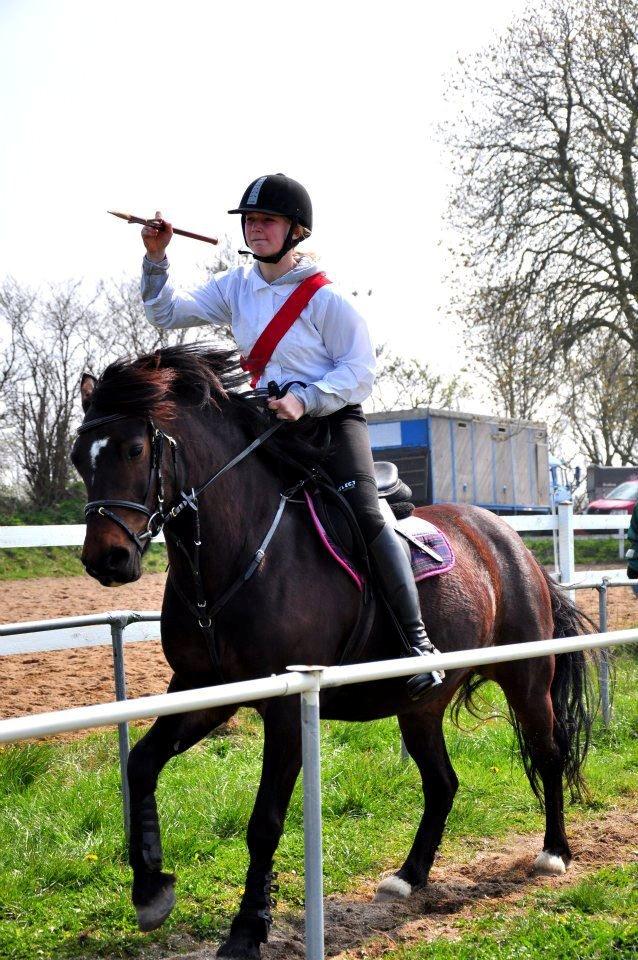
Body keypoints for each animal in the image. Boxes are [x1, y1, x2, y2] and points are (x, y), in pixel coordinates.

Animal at [72, 344, 596, 960]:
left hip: (528, 679)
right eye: (80, 457)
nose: (106, 559)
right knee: (442, 783)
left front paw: (248, 930)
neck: (242, 553)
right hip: (421, 708)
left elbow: (265, 821)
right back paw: (409, 876)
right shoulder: (204, 692)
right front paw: (151, 888)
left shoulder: (284, 709)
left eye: (134, 448)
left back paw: (554, 853)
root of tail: (511, 542)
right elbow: (141, 764)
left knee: (549, 755)